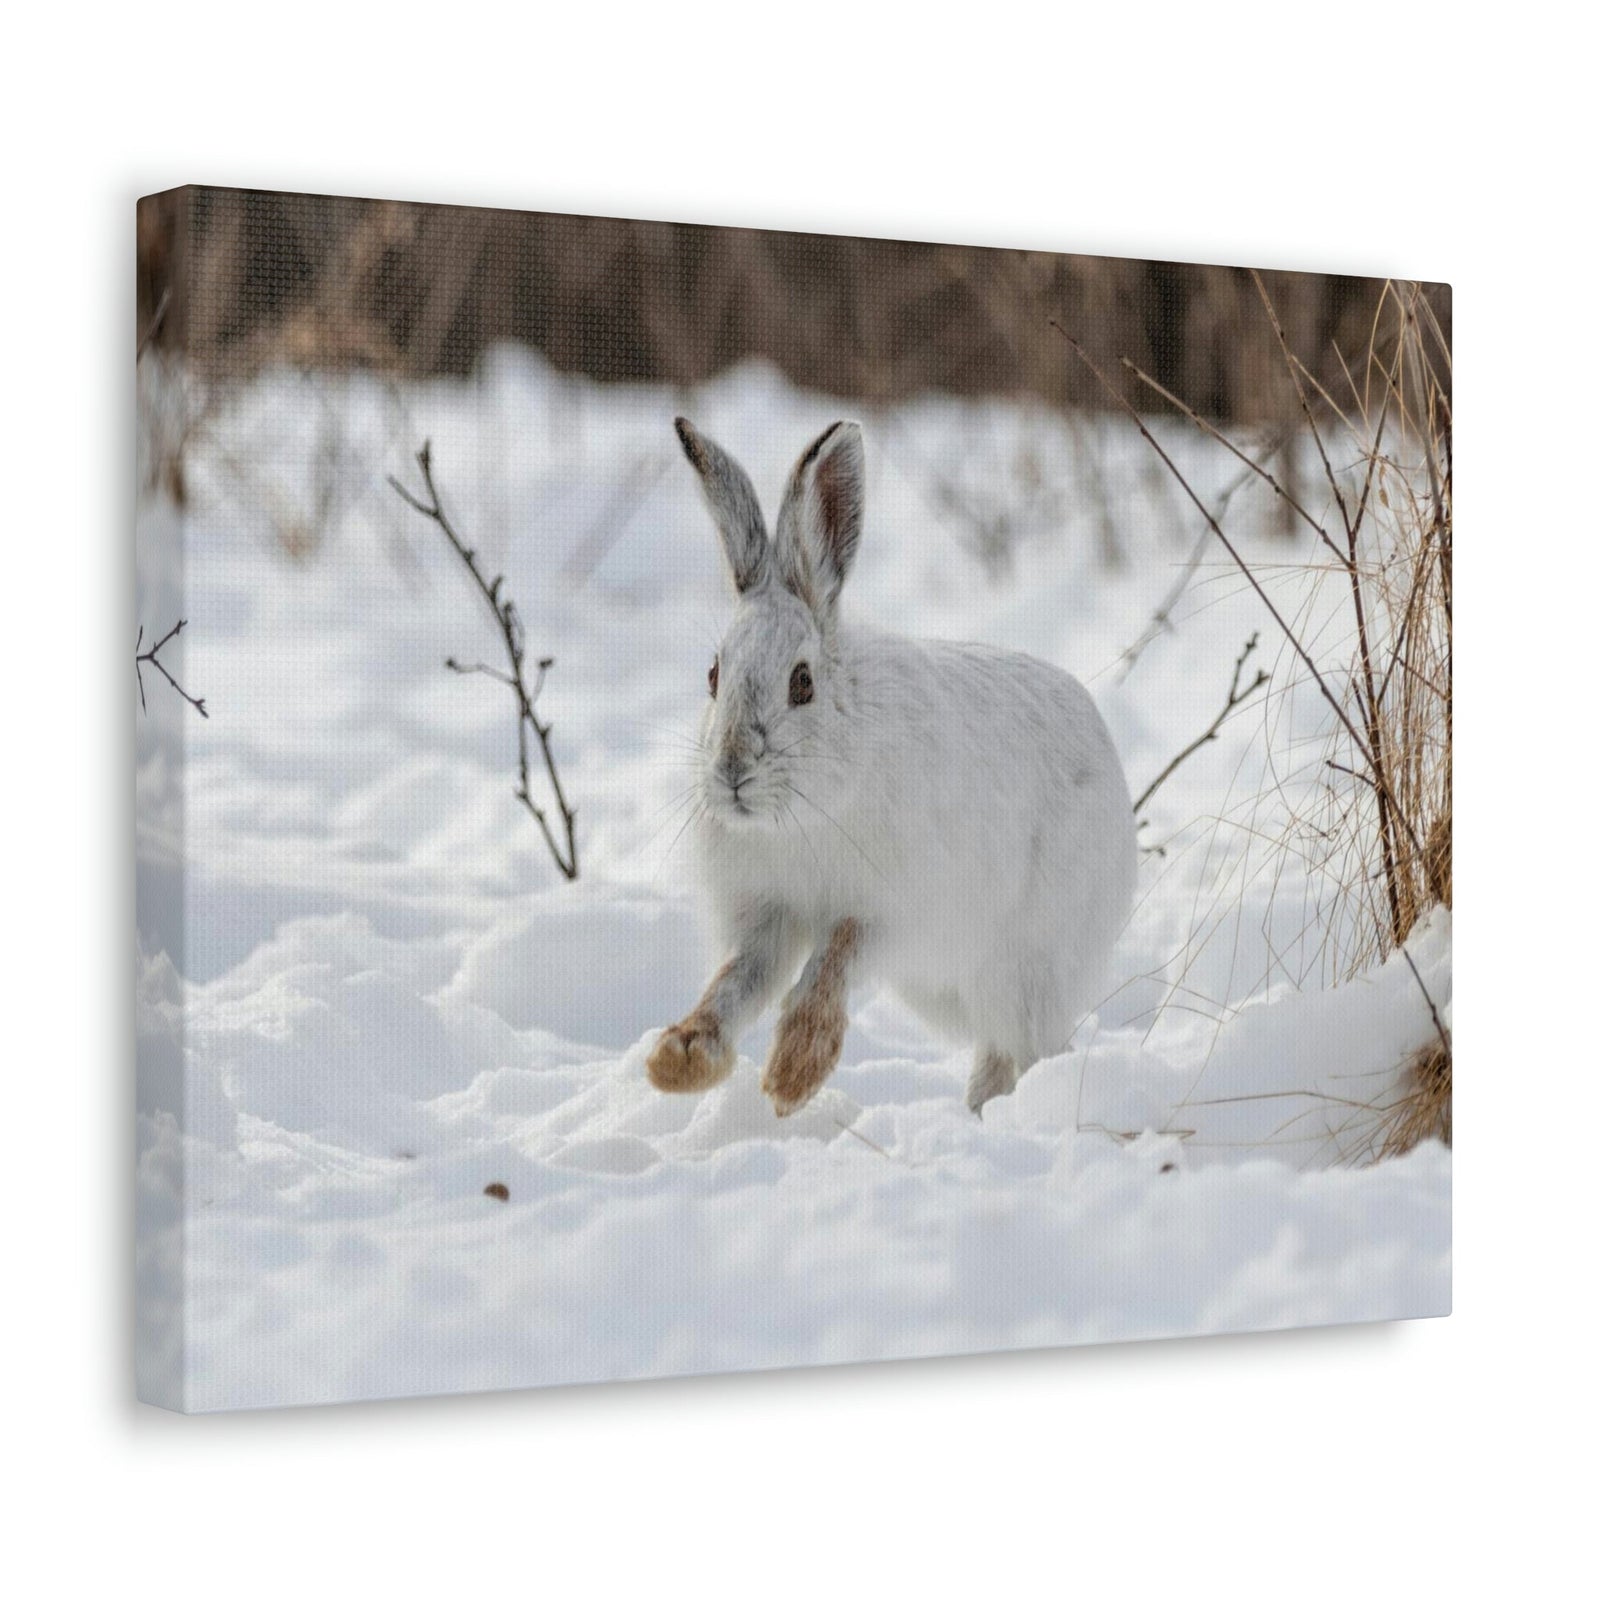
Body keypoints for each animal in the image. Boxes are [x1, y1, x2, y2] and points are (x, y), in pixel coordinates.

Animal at [646, 417, 1137, 1117]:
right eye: (713, 676)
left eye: (802, 683)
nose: (732, 770)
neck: (800, 811)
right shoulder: (765, 916)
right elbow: (736, 982)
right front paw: (680, 1060)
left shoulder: (886, 909)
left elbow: (832, 961)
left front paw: (792, 1075)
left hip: (1027, 964)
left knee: (1024, 1048)